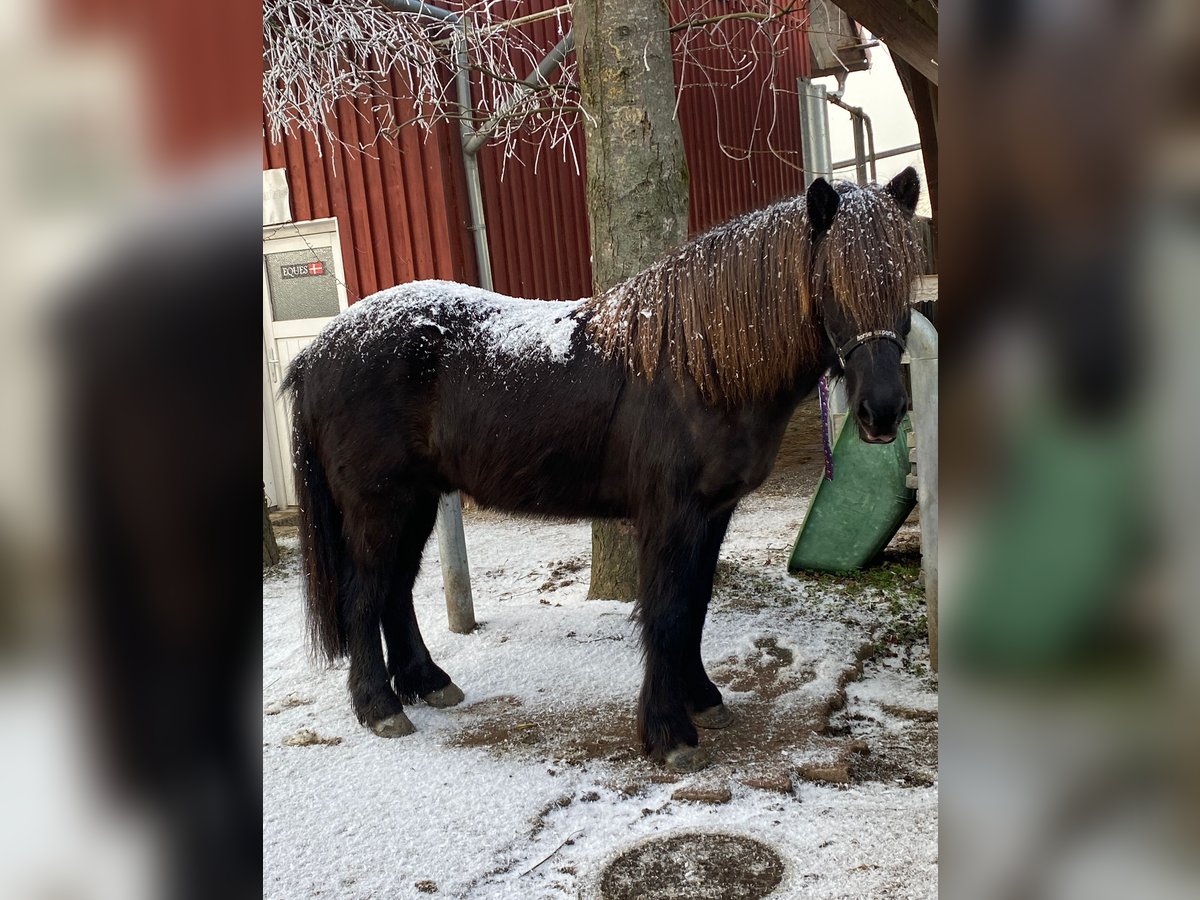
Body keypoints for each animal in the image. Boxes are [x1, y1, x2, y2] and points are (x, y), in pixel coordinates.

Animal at [285, 170, 921, 777]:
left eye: (902, 282)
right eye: (831, 282)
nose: (883, 412)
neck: (697, 366)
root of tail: (317, 353)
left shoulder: (713, 512)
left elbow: (696, 603)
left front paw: (702, 699)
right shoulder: (670, 514)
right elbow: (666, 612)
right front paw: (669, 735)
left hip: (416, 500)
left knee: (394, 589)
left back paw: (427, 682)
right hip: (379, 504)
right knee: (365, 593)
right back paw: (379, 707)